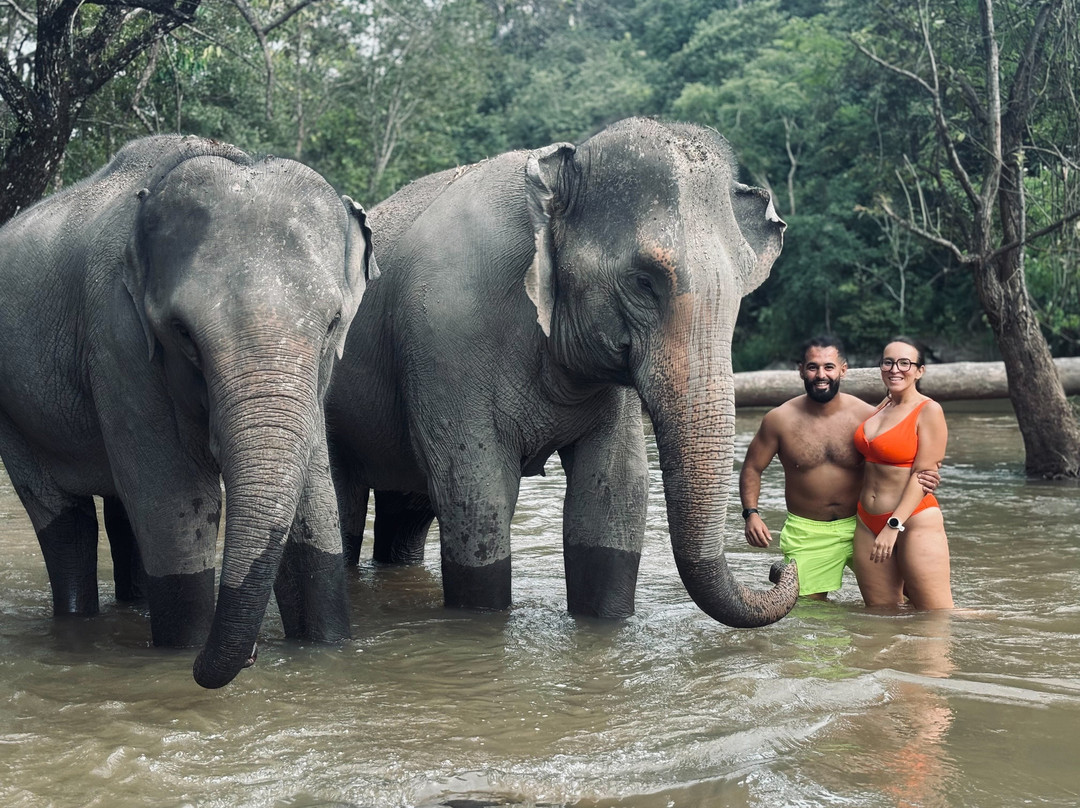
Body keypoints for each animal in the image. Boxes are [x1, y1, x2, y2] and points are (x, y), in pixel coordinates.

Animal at [0, 135, 377, 688]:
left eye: (333, 324)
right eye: (182, 334)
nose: (254, 655)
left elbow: (314, 498)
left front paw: (325, 648)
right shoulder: (117, 340)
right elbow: (174, 499)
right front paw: (184, 654)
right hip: (13, 415)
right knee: (65, 523)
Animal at [325, 117, 798, 627]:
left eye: (741, 292)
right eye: (643, 282)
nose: (777, 563)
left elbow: (614, 491)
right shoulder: (444, 333)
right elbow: (476, 492)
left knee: (406, 514)